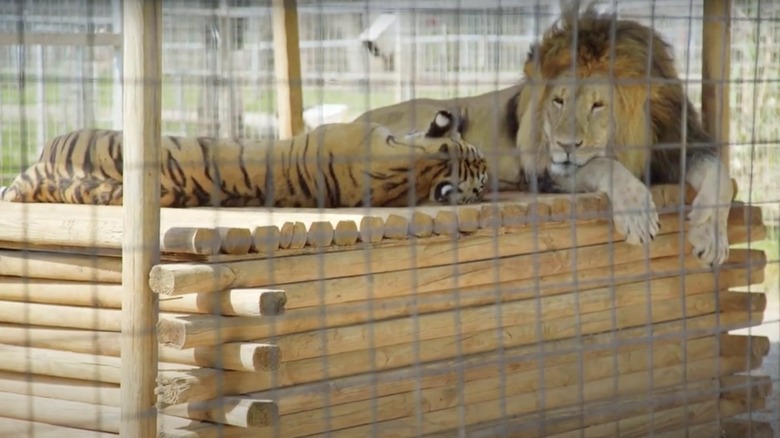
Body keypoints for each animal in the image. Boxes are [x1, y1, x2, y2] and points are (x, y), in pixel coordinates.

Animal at [356, 5, 736, 268]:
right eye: (558, 101)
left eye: (597, 105)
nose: (565, 145)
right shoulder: (545, 172)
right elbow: (605, 167)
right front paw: (636, 213)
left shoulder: (679, 144)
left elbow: (722, 177)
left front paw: (712, 235)